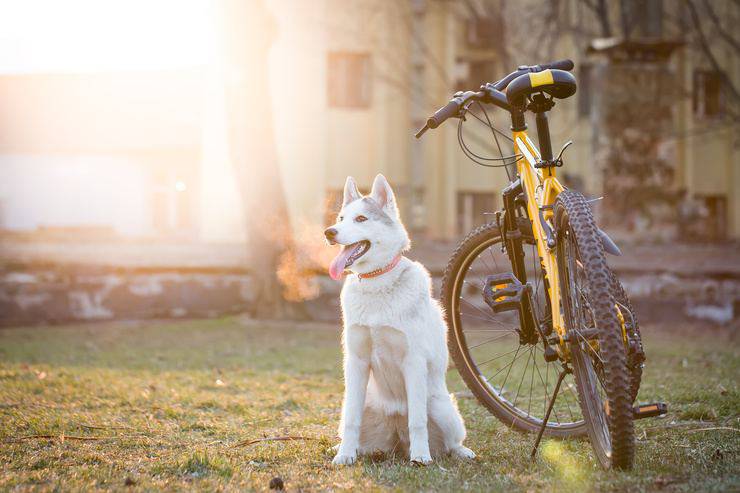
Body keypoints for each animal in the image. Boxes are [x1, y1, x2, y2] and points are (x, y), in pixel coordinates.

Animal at [324, 174, 474, 466]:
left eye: (361, 219)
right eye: (340, 218)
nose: (329, 232)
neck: (377, 285)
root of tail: (397, 438)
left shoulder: (413, 361)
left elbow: (417, 421)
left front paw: (421, 457)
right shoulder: (356, 362)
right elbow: (351, 421)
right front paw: (345, 455)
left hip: (441, 408)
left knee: (451, 441)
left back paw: (456, 452)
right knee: (351, 423)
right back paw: (346, 448)